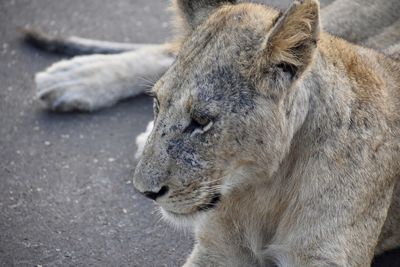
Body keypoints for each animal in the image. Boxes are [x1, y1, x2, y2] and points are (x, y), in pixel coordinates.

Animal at [25, 0, 400, 266]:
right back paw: (72, 77)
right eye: (157, 103)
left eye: (201, 121)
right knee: (168, 47)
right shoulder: (216, 248)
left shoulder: (323, 256)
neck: (266, 189)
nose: (144, 192)